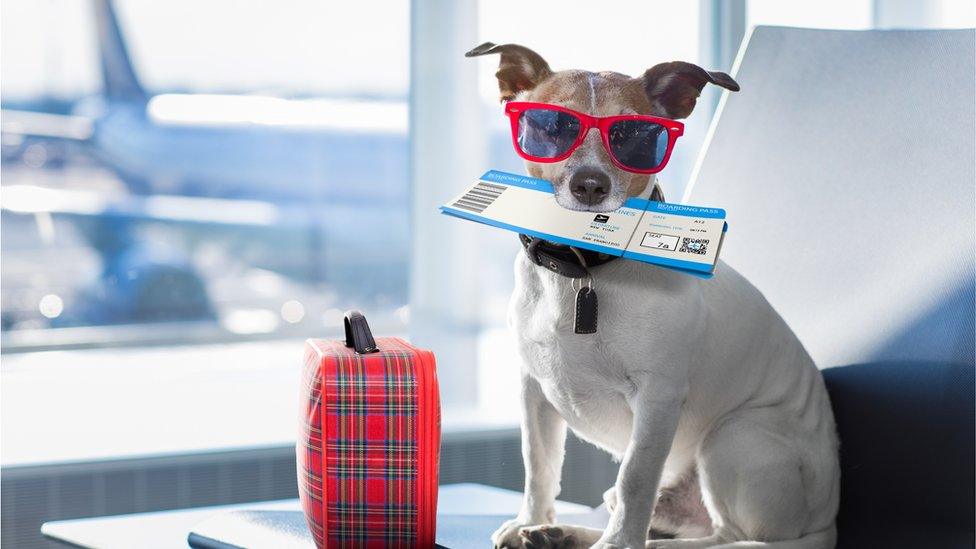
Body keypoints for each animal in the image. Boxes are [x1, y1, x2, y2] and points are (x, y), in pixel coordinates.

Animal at [466, 44, 840, 548]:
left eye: (636, 136)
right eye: (552, 126)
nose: (590, 184)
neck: (584, 269)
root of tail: (827, 522)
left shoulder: (657, 399)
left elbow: (636, 477)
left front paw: (616, 544)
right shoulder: (533, 390)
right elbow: (538, 465)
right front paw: (530, 519)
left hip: (734, 435)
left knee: (724, 537)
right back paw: (560, 532)